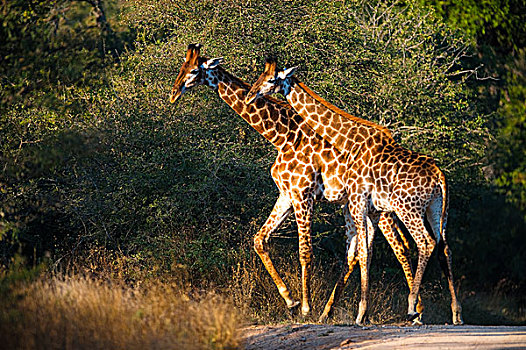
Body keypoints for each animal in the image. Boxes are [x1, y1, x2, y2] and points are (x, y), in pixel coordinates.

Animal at [171, 43, 422, 320]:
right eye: (181, 66)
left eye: (194, 70)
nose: (173, 93)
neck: (283, 137)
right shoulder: (286, 194)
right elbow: (259, 239)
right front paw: (290, 300)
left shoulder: (304, 195)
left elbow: (305, 252)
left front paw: (305, 307)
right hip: (358, 207)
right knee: (363, 252)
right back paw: (330, 312)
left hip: (378, 206)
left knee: (399, 248)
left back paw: (415, 312)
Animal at [248, 56, 466, 326]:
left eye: (270, 80)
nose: (251, 95)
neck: (350, 139)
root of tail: (439, 176)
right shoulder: (369, 208)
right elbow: (366, 253)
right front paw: (362, 312)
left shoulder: (357, 201)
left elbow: (361, 253)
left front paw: (361, 313)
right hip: (436, 210)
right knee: (444, 247)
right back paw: (456, 313)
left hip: (408, 209)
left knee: (425, 243)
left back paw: (412, 308)